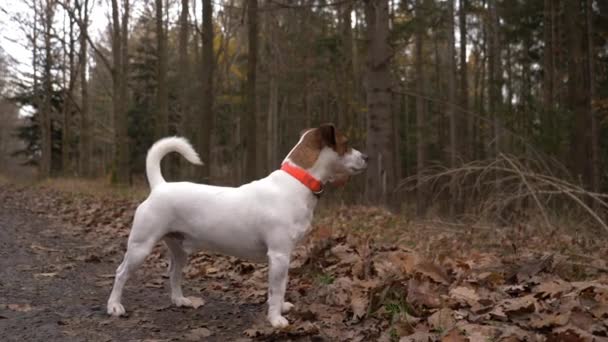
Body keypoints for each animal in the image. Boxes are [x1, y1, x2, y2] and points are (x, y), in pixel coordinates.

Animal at [107, 123, 368, 328]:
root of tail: (160, 186)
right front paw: (276, 319)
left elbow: (281, 286)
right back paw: (114, 306)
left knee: (174, 273)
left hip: (180, 249)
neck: (297, 183)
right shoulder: (279, 255)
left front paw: (281, 308)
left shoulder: (285, 256)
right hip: (141, 246)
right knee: (121, 273)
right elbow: (276, 289)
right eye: (346, 143)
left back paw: (179, 300)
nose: (366, 157)